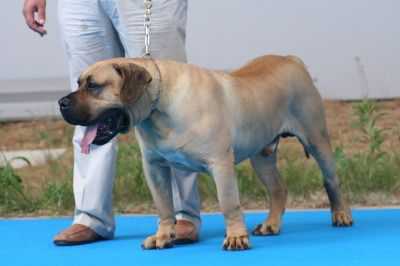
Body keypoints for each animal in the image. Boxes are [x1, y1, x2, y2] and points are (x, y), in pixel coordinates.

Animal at [58, 55, 354, 250]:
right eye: (79, 82)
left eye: (94, 85)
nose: (61, 102)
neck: (159, 103)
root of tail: (292, 59)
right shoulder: (154, 167)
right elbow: (164, 206)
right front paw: (163, 236)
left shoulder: (220, 163)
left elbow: (229, 203)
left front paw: (236, 237)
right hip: (262, 156)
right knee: (278, 188)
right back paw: (271, 224)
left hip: (317, 140)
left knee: (331, 180)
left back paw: (341, 215)